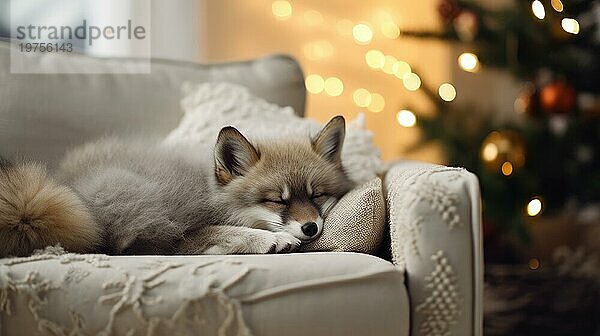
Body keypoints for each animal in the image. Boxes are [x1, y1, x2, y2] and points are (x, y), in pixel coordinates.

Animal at [0, 117, 354, 256]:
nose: (310, 228)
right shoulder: (184, 231)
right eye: (277, 201)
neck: (209, 192)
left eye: (317, 195)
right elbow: (226, 230)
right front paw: (271, 238)